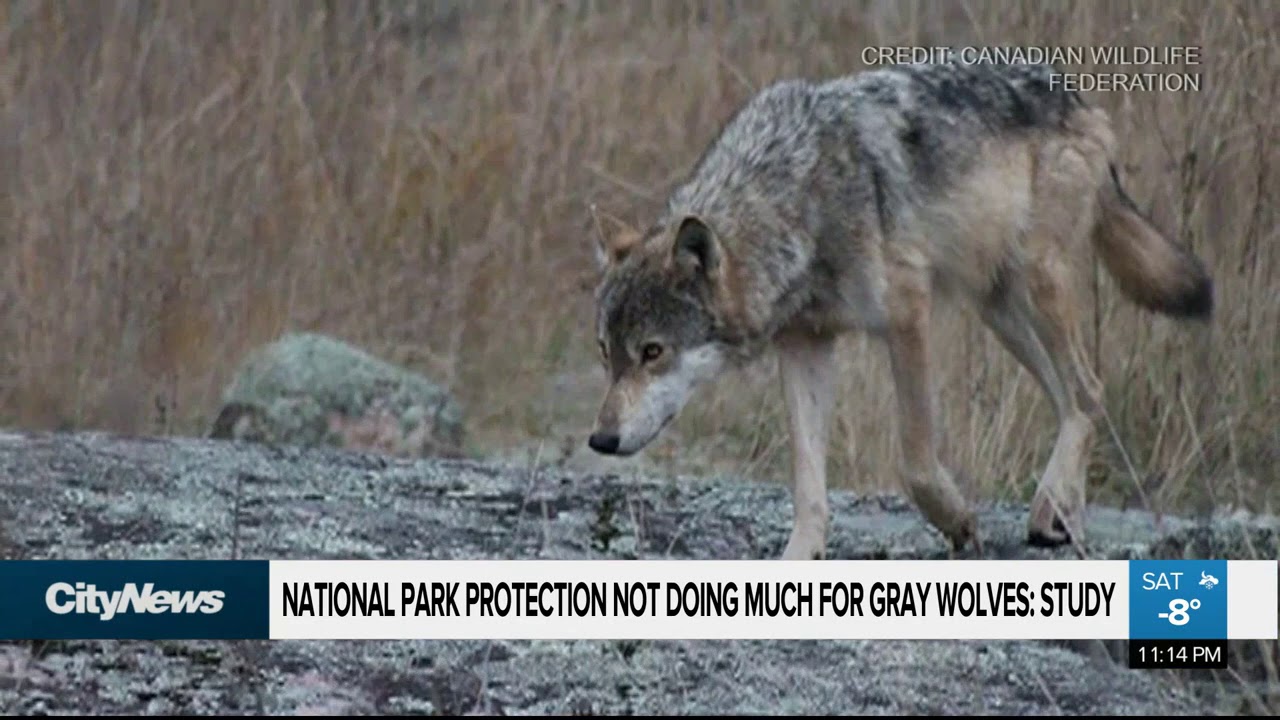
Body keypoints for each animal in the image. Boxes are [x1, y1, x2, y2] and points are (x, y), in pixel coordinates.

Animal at [587, 61, 1213, 560]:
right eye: (605, 353)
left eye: (652, 352)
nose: (600, 441)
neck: (800, 202)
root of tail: (1078, 97)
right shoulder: (806, 346)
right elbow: (807, 485)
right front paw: (797, 562)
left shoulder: (908, 318)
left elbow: (914, 460)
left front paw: (958, 523)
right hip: (1001, 312)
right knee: (1072, 398)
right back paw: (1060, 515)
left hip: (1039, 287)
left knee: (1087, 389)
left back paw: (1051, 508)